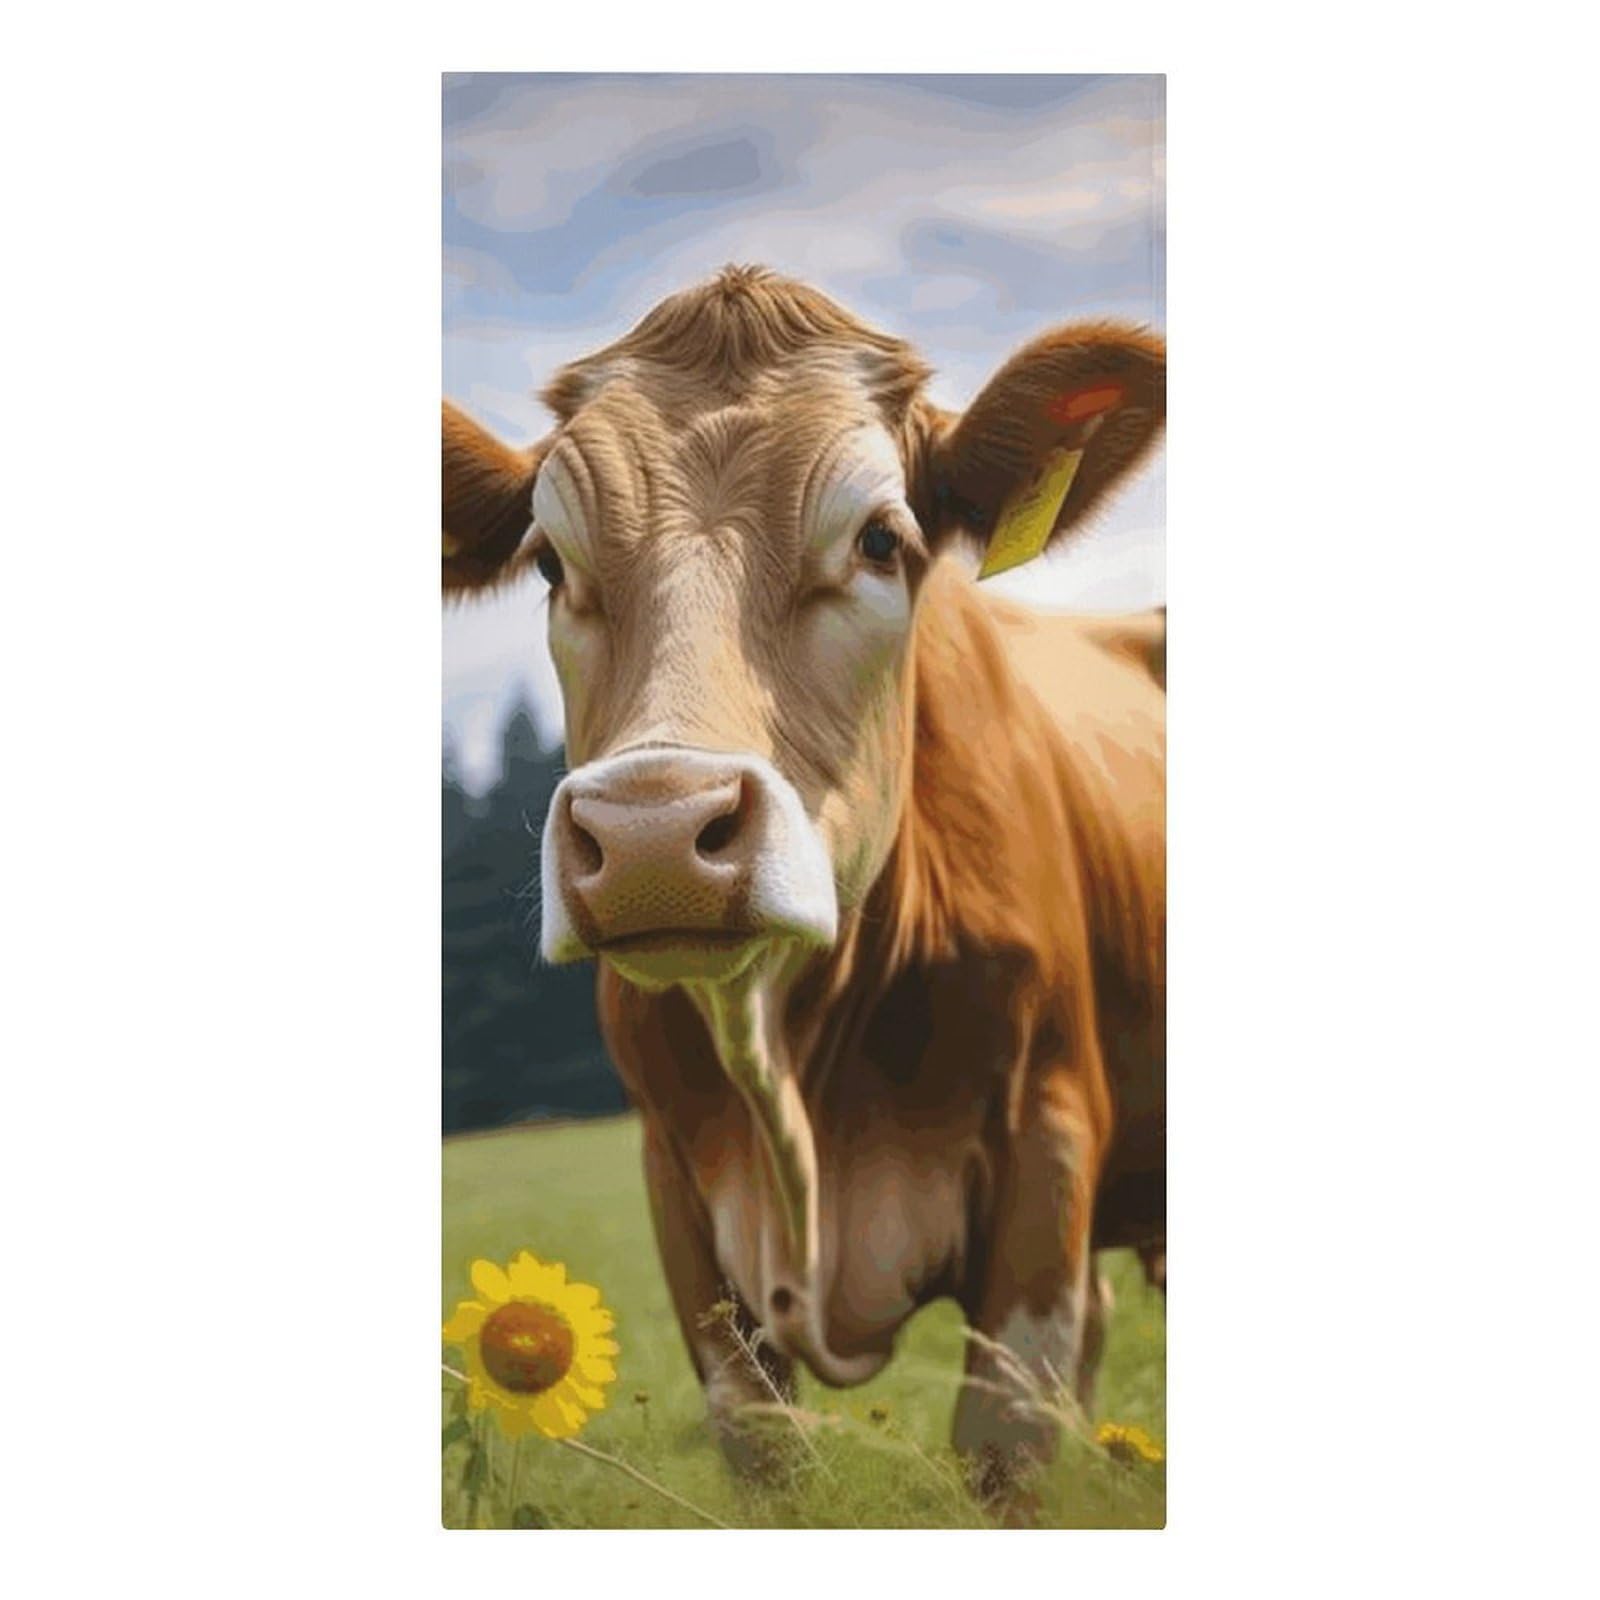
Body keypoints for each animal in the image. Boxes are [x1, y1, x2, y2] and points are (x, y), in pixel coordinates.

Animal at [442, 266, 1165, 1501]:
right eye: (547, 562)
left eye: (881, 539)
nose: (651, 834)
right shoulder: (681, 1195)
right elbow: (764, 1446)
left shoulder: (1050, 1157)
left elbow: (1004, 1447)